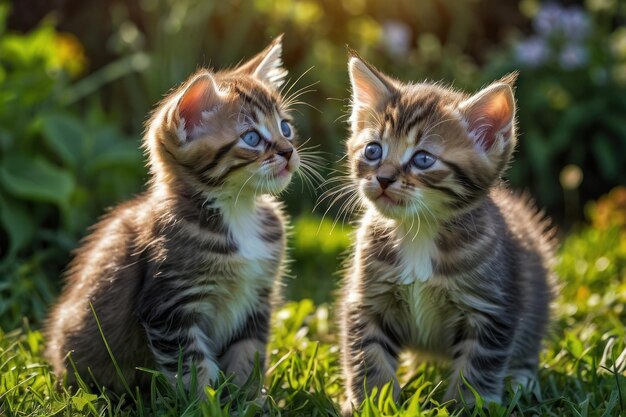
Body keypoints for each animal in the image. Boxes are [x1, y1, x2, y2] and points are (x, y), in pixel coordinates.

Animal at [44, 36, 300, 394]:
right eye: (252, 138)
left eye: (285, 128)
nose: (289, 151)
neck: (238, 211)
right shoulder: (170, 306)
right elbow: (193, 367)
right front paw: (208, 401)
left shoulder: (258, 298)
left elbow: (248, 355)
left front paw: (249, 398)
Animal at [336, 53, 552, 412]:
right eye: (373, 151)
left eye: (423, 159)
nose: (383, 178)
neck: (418, 231)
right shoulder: (368, 297)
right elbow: (367, 352)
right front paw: (373, 401)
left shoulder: (492, 307)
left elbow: (478, 364)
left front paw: (467, 405)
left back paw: (522, 381)